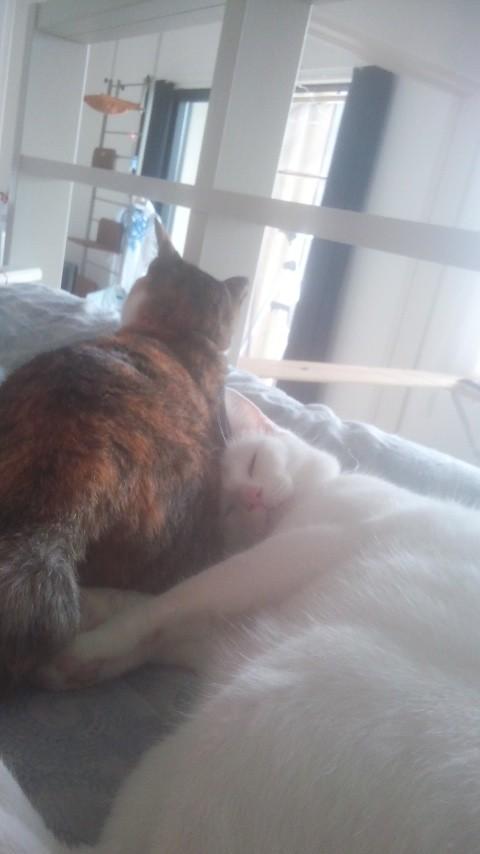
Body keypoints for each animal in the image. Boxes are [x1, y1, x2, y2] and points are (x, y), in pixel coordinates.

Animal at [10, 387, 478, 853]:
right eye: (230, 506)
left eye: (254, 463)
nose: (252, 496)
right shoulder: (232, 625)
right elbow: (154, 611)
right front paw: (90, 617)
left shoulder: (288, 551)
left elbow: (169, 602)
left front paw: (84, 647)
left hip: (250, 702)